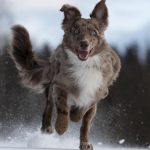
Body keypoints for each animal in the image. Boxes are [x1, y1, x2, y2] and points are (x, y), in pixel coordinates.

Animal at [8, 0, 120, 149]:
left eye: (94, 32)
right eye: (76, 31)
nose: (84, 44)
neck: (84, 64)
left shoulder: (98, 93)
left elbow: (84, 116)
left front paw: (76, 119)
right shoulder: (59, 85)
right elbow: (62, 108)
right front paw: (61, 127)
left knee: (85, 123)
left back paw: (84, 142)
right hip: (51, 86)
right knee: (49, 107)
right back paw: (47, 128)